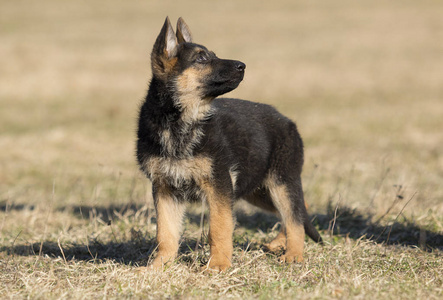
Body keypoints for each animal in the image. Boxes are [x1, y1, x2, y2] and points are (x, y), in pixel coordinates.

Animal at [136, 17, 322, 274]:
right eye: (202, 59)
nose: (242, 65)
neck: (180, 122)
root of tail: (286, 120)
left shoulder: (219, 185)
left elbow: (219, 228)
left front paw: (219, 265)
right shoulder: (165, 189)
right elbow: (165, 233)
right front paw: (159, 266)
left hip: (280, 183)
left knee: (294, 216)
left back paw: (294, 254)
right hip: (257, 189)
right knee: (297, 210)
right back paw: (279, 244)